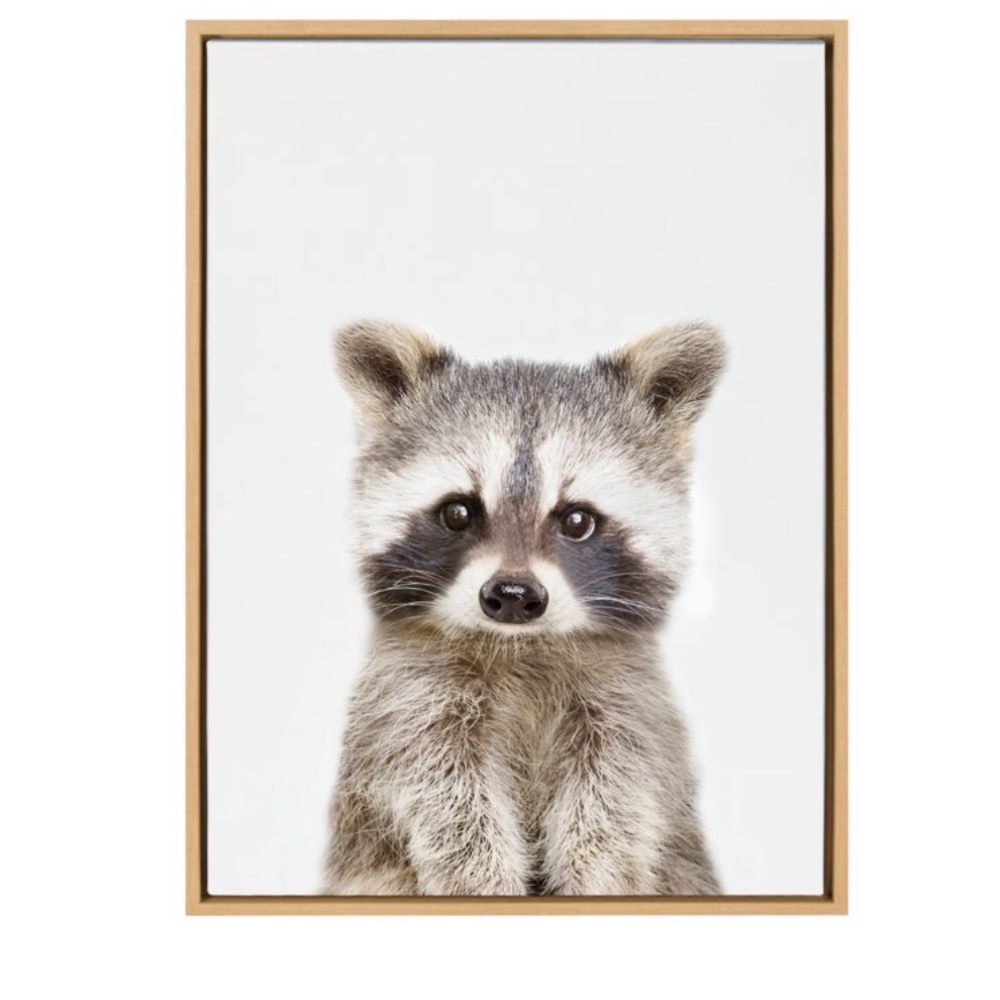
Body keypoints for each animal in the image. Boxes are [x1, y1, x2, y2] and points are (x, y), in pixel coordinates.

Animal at [323, 319, 725, 896]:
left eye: (577, 519)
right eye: (458, 512)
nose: (513, 596)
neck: (521, 647)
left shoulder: (627, 699)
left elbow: (617, 796)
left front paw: (595, 875)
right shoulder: (407, 698)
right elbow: (444, 794)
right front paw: (481, 880)